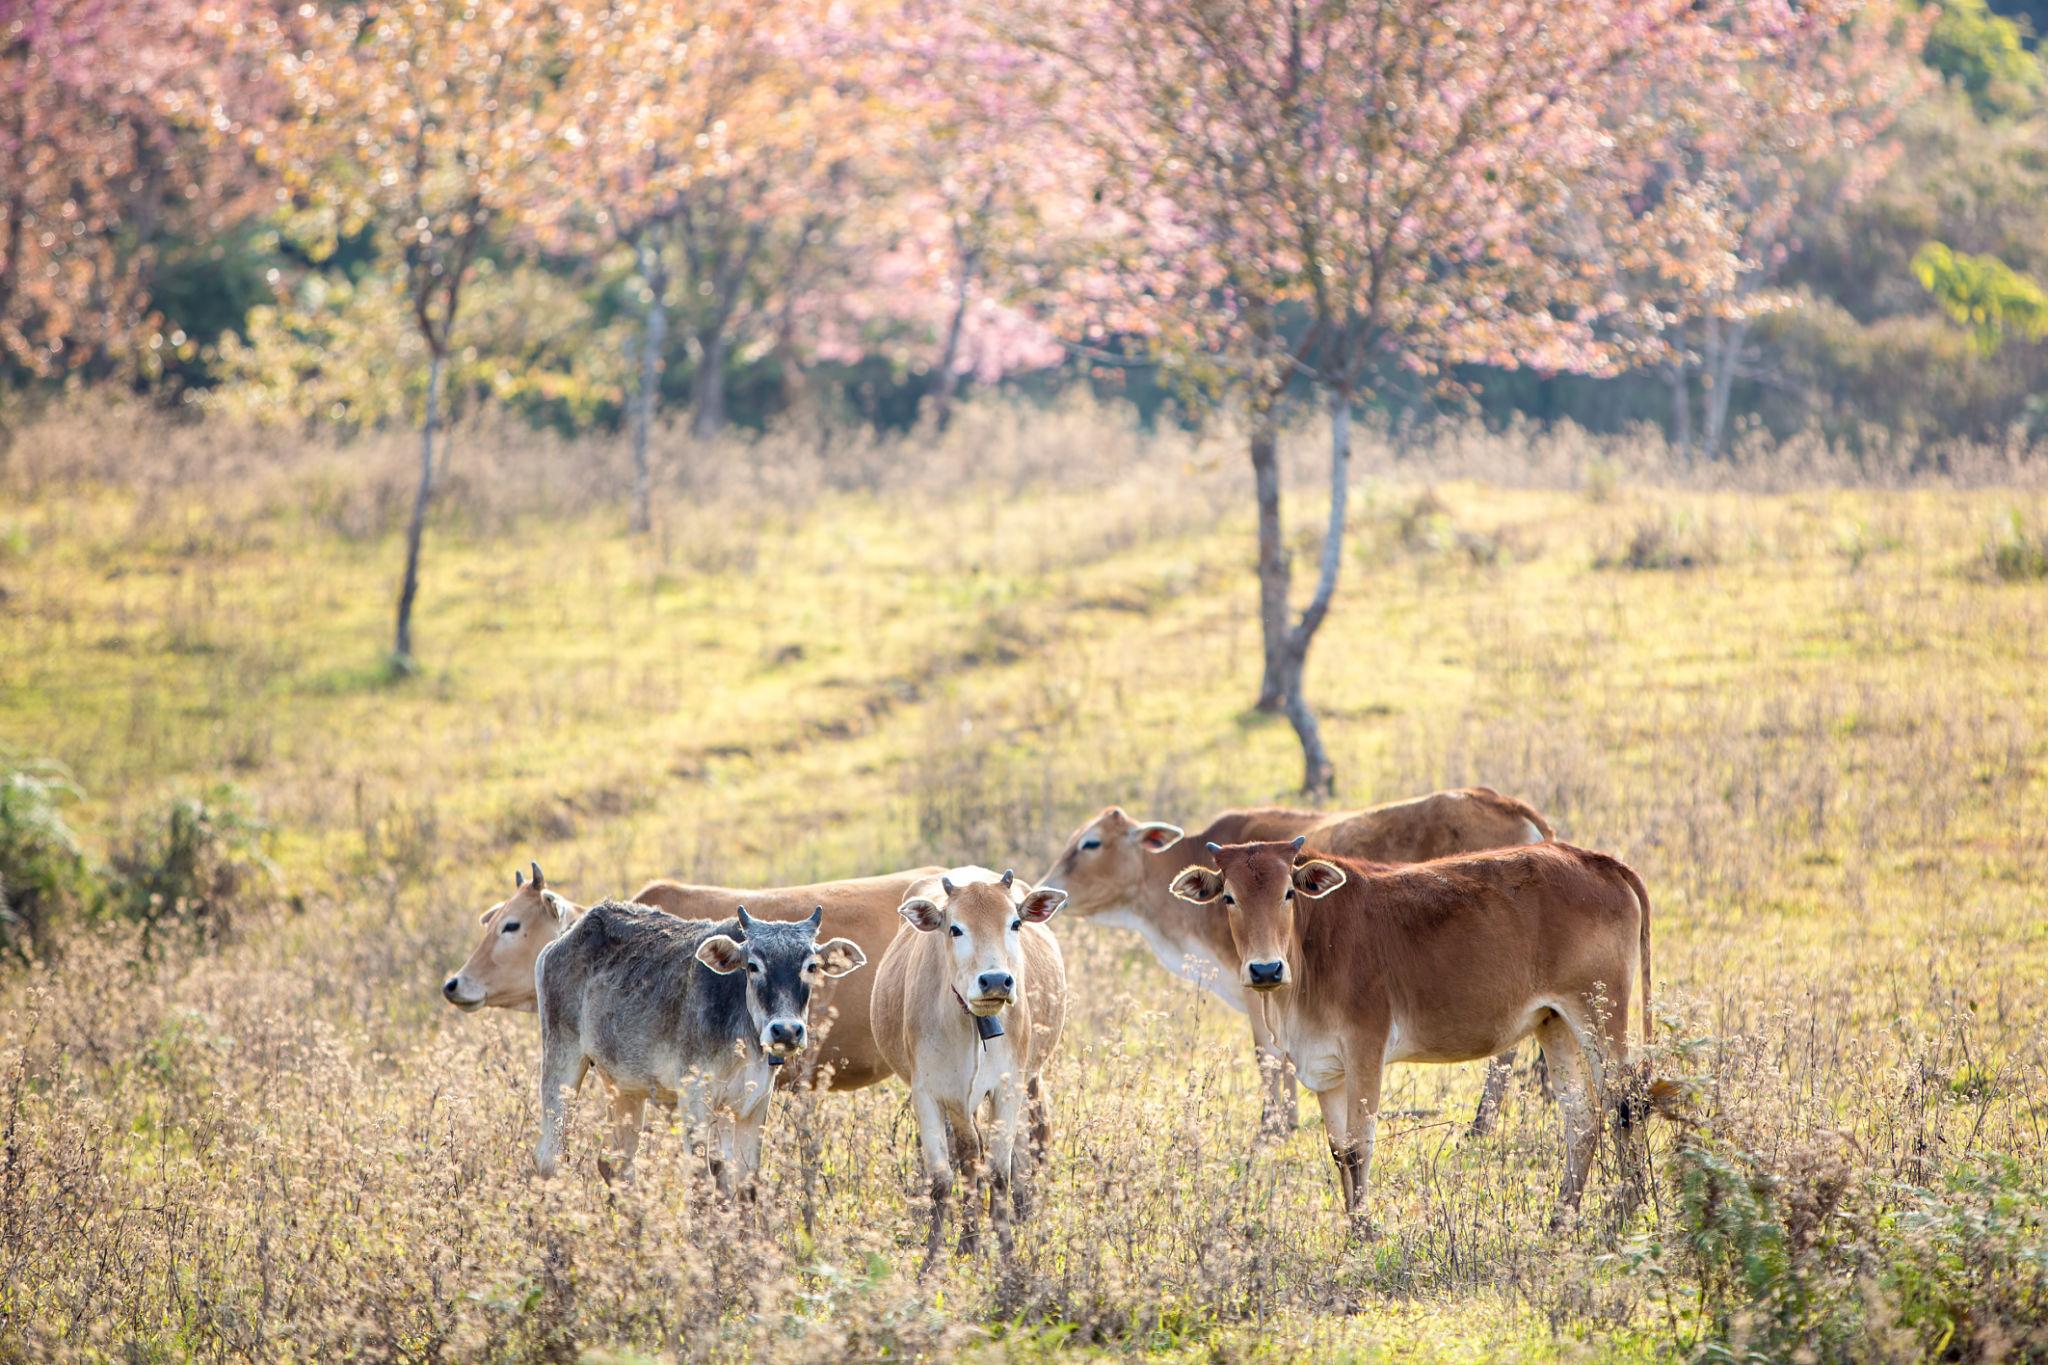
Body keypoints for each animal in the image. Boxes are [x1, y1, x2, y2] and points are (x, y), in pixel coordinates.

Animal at [531, 901, 867, 1188]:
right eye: (753, 966)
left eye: (811, 966)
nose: (786, 1031)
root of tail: (566, 937)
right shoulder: (695, 1099)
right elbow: (702, 1182)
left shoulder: (753, 1105)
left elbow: (743, 1182)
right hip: (562, 1061)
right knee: (549, 1158)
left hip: (625, 1088)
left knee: (617, 1165)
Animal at [870, 868, 1068, 1267]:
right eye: (955, 928)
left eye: (1015, 923)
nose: (995, 981)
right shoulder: (930, 1094)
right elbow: (944, 1178)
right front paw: (933, 1261)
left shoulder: (1007, 1088)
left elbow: (999, 1173)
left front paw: (1008, 1257)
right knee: (969, 1157)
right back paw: (969, 1240)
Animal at [1036, 787, 1554, 1136]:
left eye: (1090, 843)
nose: (1046, 887)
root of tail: (1511, 805)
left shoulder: (1259, 983)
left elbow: (1268, 1054)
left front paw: (1274, 1124)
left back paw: (1481, 1122)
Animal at [1167, 837, 1651, 1226]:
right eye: (1229, 898)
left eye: (1288, 892)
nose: (1265, 969)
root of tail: (1594, 859)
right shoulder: (1325, 1070)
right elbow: (1339, 1151)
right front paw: (1353, 1231)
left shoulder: (1365, 1048)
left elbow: (1360, 1146)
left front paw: (1366, 1233)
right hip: (1554, 1023)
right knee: (1582, 1118)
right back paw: (1561, 1219)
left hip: (1600, 1017)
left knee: (1625, 1102)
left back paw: (1626, 1211)